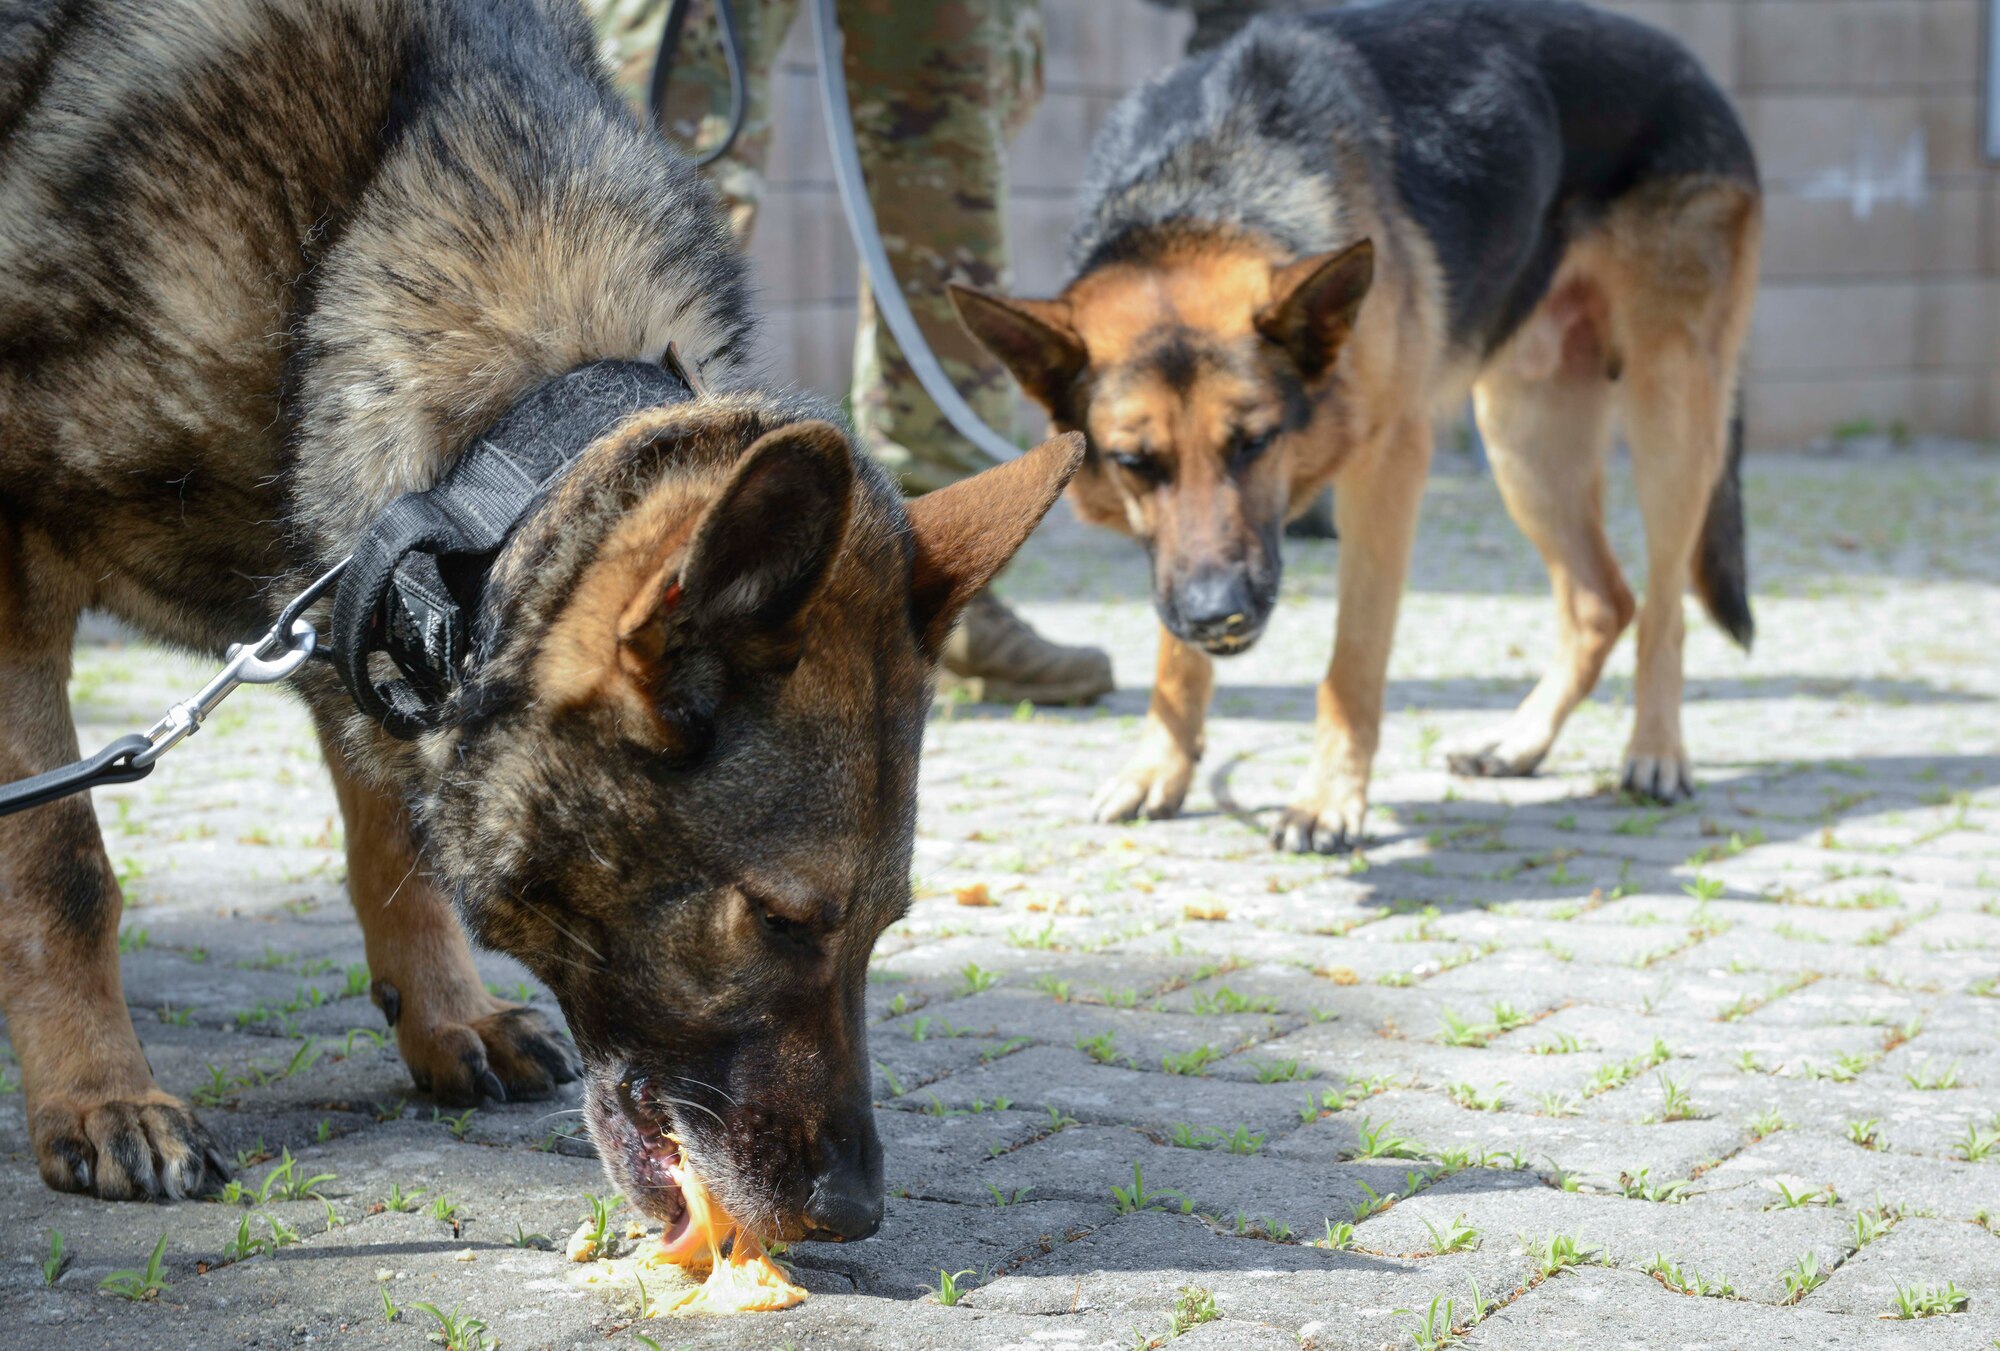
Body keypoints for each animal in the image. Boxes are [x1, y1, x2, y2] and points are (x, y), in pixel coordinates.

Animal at [0, 0, 1080, 1247]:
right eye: (776, 918)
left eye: (883, 924)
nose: (851, 1212)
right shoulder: (18, 569)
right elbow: (62, 865)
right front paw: (101, 1092)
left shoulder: (365, 606)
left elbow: (398, 844)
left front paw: (446, 1017)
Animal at [948, 0, 1752, 851]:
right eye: (1136, 461)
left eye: (1255, 442)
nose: (1218, 612)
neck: (1209, 190)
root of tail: (1690, 66)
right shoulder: (1176, 556)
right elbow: (1174, 654)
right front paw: (1160, 766)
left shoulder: (1389, 467)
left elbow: (1353, 659)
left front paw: (1328, 799)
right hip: (1525, 436)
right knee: (1602, 602)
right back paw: (1520, 742)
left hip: (1669, 417)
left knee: (1663, 605)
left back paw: (1656, 751)